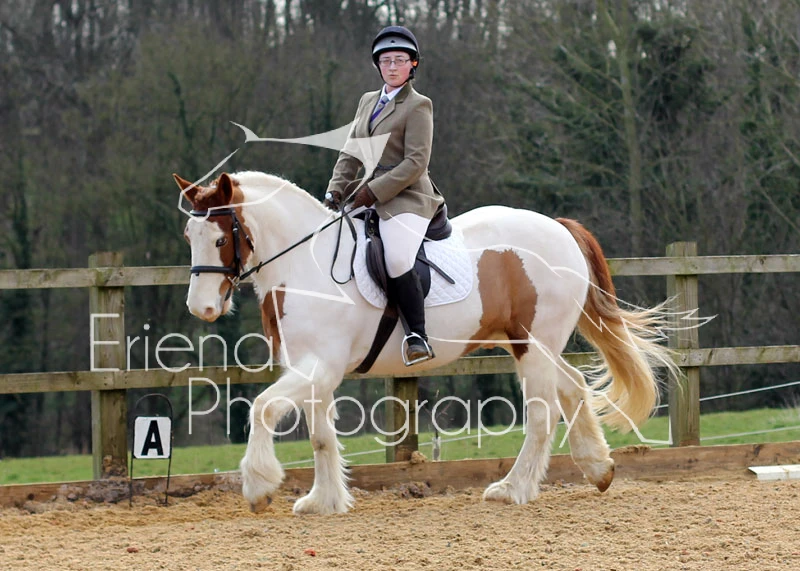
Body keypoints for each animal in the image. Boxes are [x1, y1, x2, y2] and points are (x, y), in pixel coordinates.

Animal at [173, 170, 676, 515]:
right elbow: (320, 436)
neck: (304, 266)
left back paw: (512, 489)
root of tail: (557, 226)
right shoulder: (312, 368)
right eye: (188, 235)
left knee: (542, 413)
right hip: (529, 343)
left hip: (534, 344)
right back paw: (599, 469)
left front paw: (259, 487)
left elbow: (264, 408)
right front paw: (325, 501)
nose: (201, 309)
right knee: (572, 387)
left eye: (220, 238)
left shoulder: (320, 366)